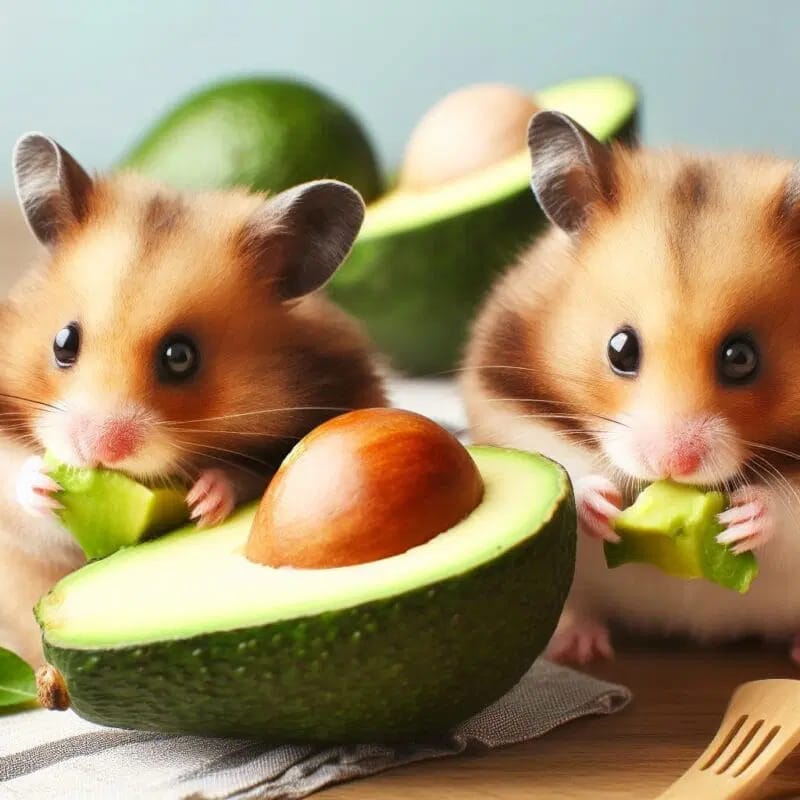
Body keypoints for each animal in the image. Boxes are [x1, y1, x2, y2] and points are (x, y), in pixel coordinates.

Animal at [0, 133, 386, 664]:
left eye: (180, 356)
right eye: (63, 342)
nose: (99, 449)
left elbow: (253, 476)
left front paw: (207, 498)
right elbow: (13, 484)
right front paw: (40, 482)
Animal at [463, 110, 800, 665]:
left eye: (742, 358)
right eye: (620, 349)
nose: (673, 463)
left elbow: (788, 508)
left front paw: (745, 519)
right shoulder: (500, 392)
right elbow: (553, 456)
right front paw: (598, 502)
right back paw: (581, 648)